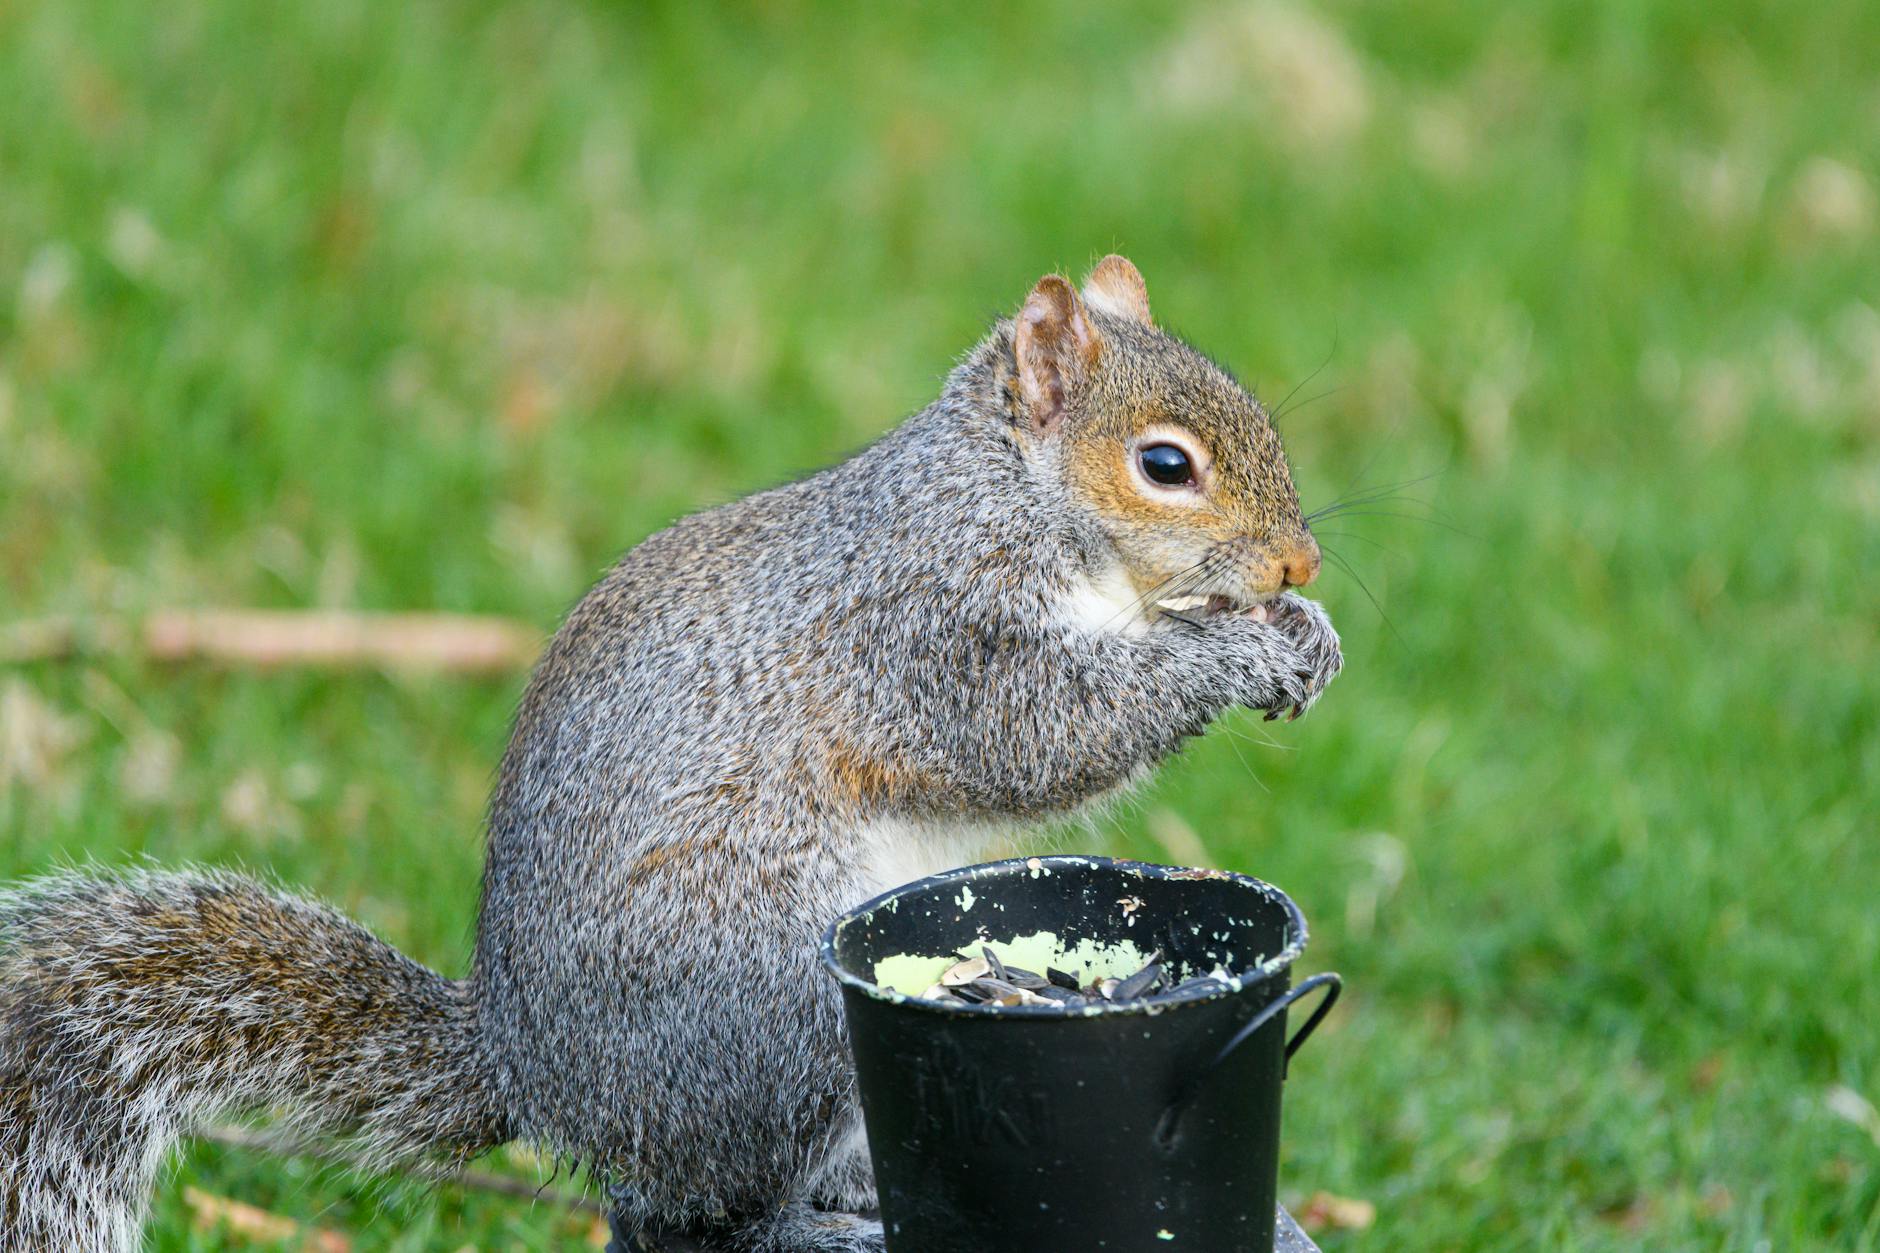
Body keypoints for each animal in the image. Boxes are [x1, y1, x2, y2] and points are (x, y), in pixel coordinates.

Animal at [0, 256, 1341, 1252]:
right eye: (1163, 465)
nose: (1299, 561)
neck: (1010, 497)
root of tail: (538, 1074)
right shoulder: (929, 627)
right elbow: (1044, 731)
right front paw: (1236, 652)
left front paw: (1304, 632)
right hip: (775, 992)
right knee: (701, 1206)